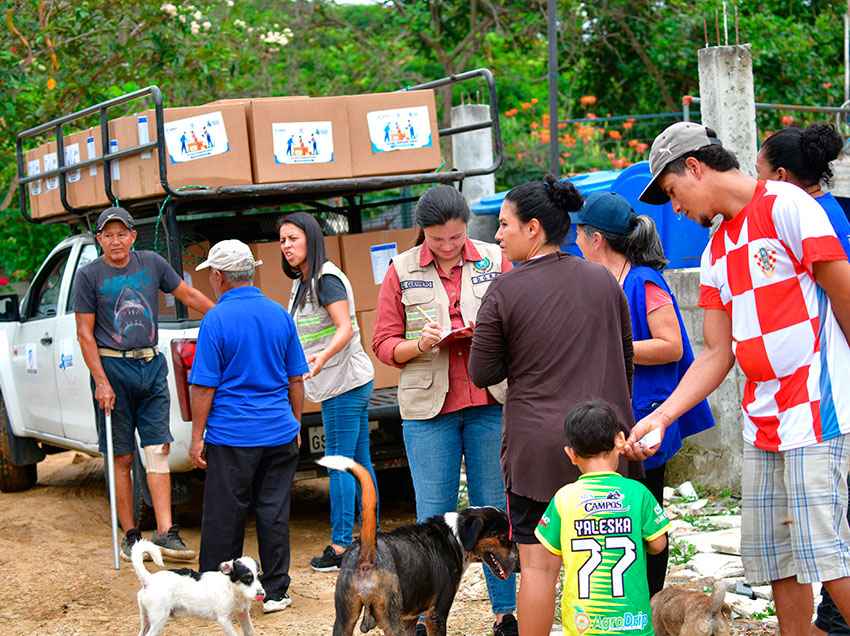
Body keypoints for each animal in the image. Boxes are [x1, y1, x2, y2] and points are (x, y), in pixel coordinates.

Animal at [132, 536, 264, 636]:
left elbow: (250, 632)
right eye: (247, 578)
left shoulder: (243, 614)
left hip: (146, 618)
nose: (261, 594)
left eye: (259, 576)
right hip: (159, 619)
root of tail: (149, 579)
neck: (233, 589)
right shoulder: (224, 619)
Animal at [318, 454, 516, 636]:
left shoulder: (410, 620)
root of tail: (368, 551)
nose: (517, 562)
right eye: (503, 537)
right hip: (391, 621)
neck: (456, 535)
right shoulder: (436, 615)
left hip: (344, 620)